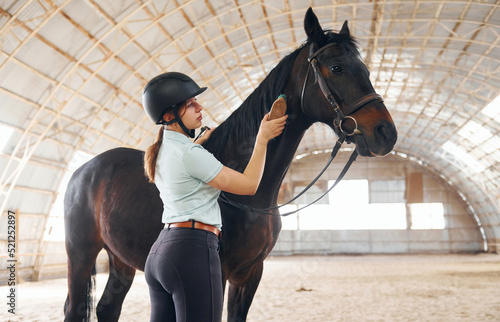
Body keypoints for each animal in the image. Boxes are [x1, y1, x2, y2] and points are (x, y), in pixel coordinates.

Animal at [63, 8, 398, 322]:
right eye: (337, 68)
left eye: (365, 69)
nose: (386, 134)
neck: (251, 196)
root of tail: (83, 170)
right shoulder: (220, 273)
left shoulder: (250, 273)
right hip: (80, 255)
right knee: (75, 308)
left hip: (120, 259)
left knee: (107, 308)